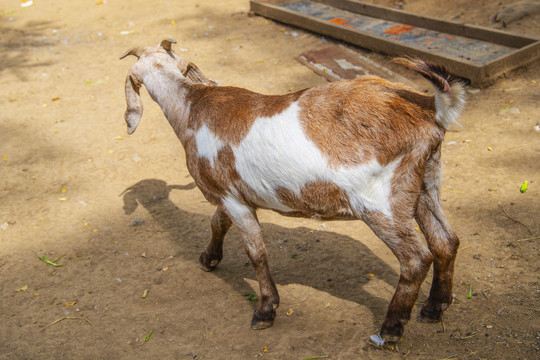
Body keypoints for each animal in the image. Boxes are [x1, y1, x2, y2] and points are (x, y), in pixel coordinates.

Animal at [121, 39, 464, 346]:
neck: (193, 108)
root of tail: (428, 110)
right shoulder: (233, 193)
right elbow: (218, 223)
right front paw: (209, 259)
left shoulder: (231, 198)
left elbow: (256, 252)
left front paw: (265, 310)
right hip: (424, 185)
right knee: (446, 241)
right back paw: (435, 308)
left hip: (380, 202)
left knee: (416, 258)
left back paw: (391, 328)